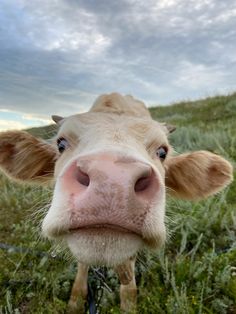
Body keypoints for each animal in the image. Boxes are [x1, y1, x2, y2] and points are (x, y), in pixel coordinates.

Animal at [0, 92, 233, 312]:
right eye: (61, 143)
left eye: (162, 152)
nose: (113, 180)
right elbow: (81, 273)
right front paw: (74, 304)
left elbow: (128, 285)